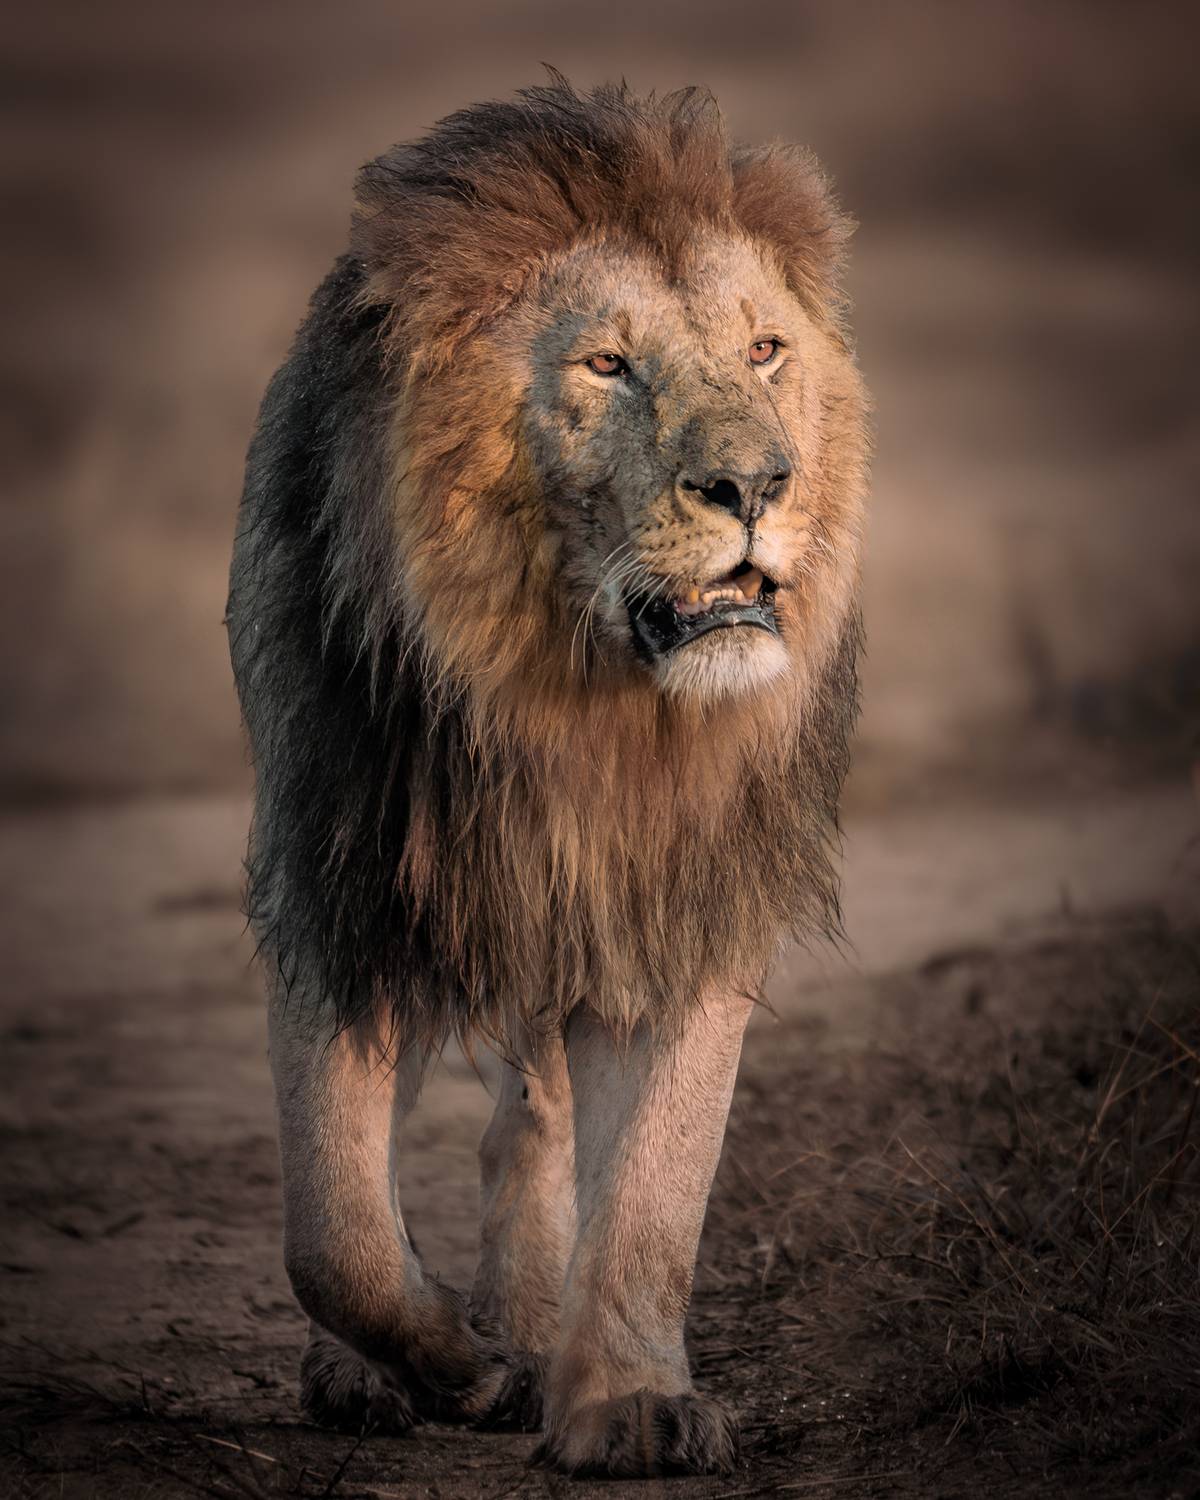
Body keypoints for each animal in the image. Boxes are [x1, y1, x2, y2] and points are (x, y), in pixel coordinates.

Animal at [226, 77, 867, 1478]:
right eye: (606, 365)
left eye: (765, 352)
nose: (757, 483)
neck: (575, 710)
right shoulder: (340, 882)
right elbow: (333, 1232)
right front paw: (450, 1365)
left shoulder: (682, 900)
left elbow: (656, 1189)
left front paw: (625, 1401)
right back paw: (395, 1367)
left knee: (538, 1115)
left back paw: (528, 1317)